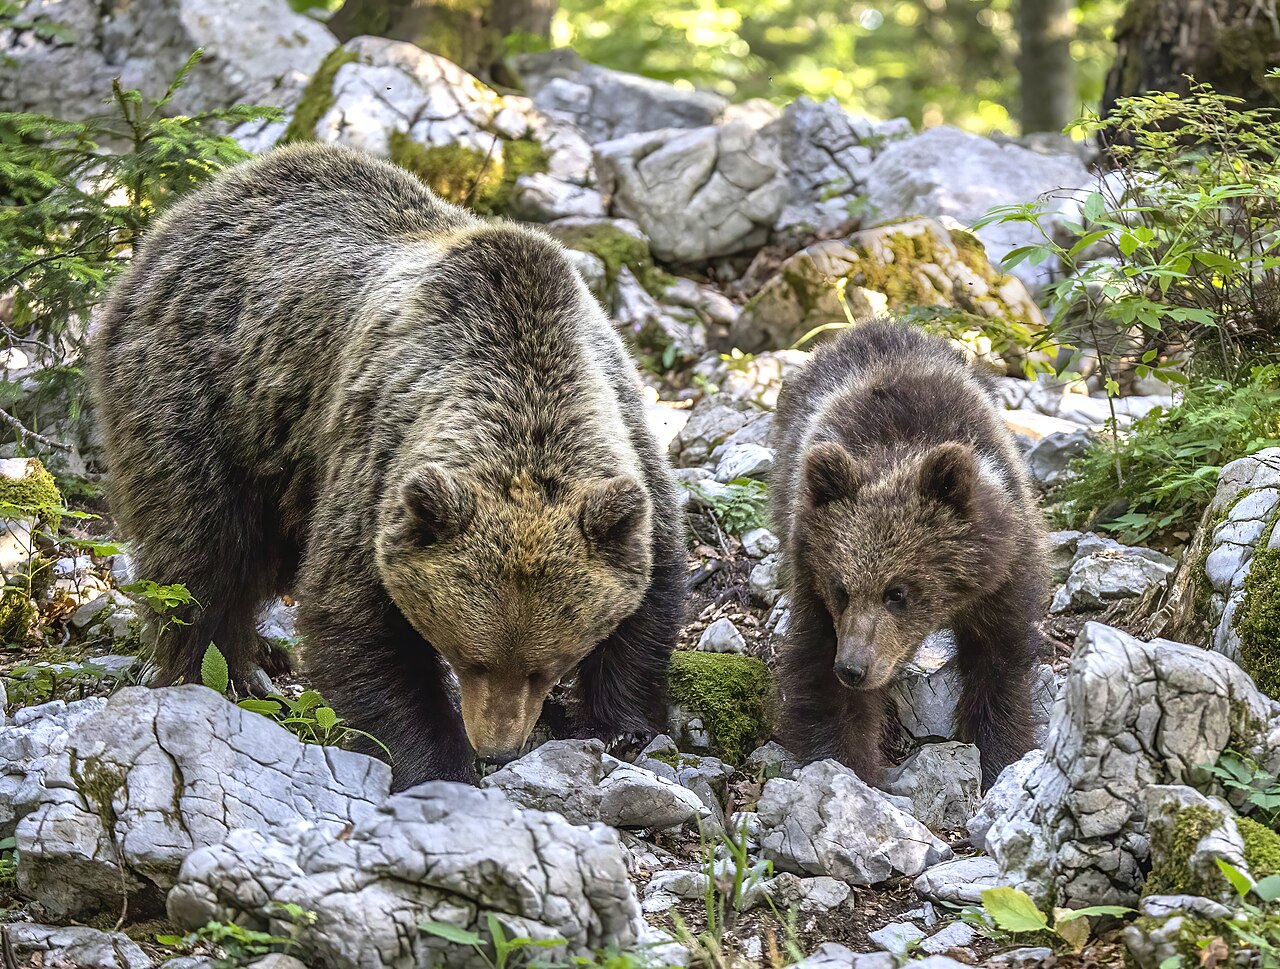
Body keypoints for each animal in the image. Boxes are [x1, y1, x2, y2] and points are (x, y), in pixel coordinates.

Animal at [90, 142, 686, 790]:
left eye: (548, 664)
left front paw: (625, 725)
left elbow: (652, 595)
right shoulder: (378, 456)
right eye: (470, 658)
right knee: (199, 554)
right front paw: (437, 762)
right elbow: (356, 619)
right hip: (204, 400)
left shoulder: (631, 441)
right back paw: (201, 674)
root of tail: (181, 214)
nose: (498, 745)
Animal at [769, 319, 1047, 789]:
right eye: (841, 589)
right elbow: (821, 677)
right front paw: (847, 765)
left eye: (897, 592)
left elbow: (999, 663)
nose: (854, 668)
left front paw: (998, 755)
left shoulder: (1005, 572)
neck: (901, 450)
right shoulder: (811, 578)